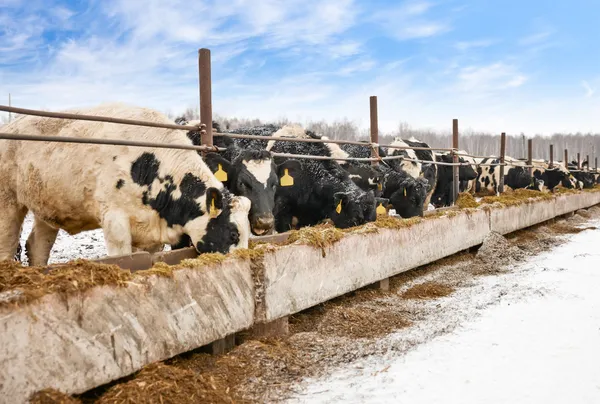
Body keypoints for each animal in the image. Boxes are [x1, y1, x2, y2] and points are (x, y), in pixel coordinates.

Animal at [0, 102, 252, 266]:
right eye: (233, 233)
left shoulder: (151, 234)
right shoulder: (114, 221)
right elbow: (123, 259)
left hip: (47, 206)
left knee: (37, 246)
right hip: (7, 202)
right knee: (7, 247)